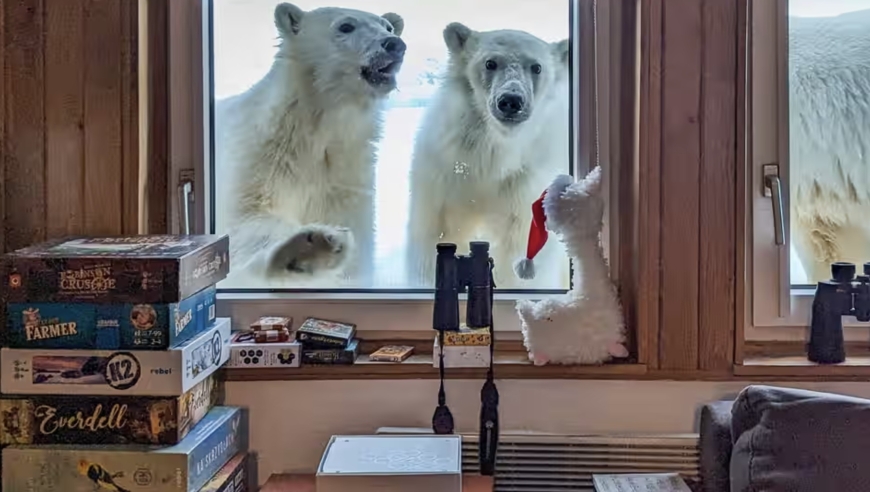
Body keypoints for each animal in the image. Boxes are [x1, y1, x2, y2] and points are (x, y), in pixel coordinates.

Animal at [218, 2, 408, 288]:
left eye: (387, 26)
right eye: (346, 26)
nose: (394, 44)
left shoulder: (345, 177)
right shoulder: (260, 161)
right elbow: (249, 218)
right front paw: (311, 247)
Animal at [408, 23, 572, 290]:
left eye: (537, 67)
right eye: (490, 63)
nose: (511, 100)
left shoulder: (524, 183)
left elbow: (520, 244)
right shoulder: (445, 171)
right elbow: (436, 233)